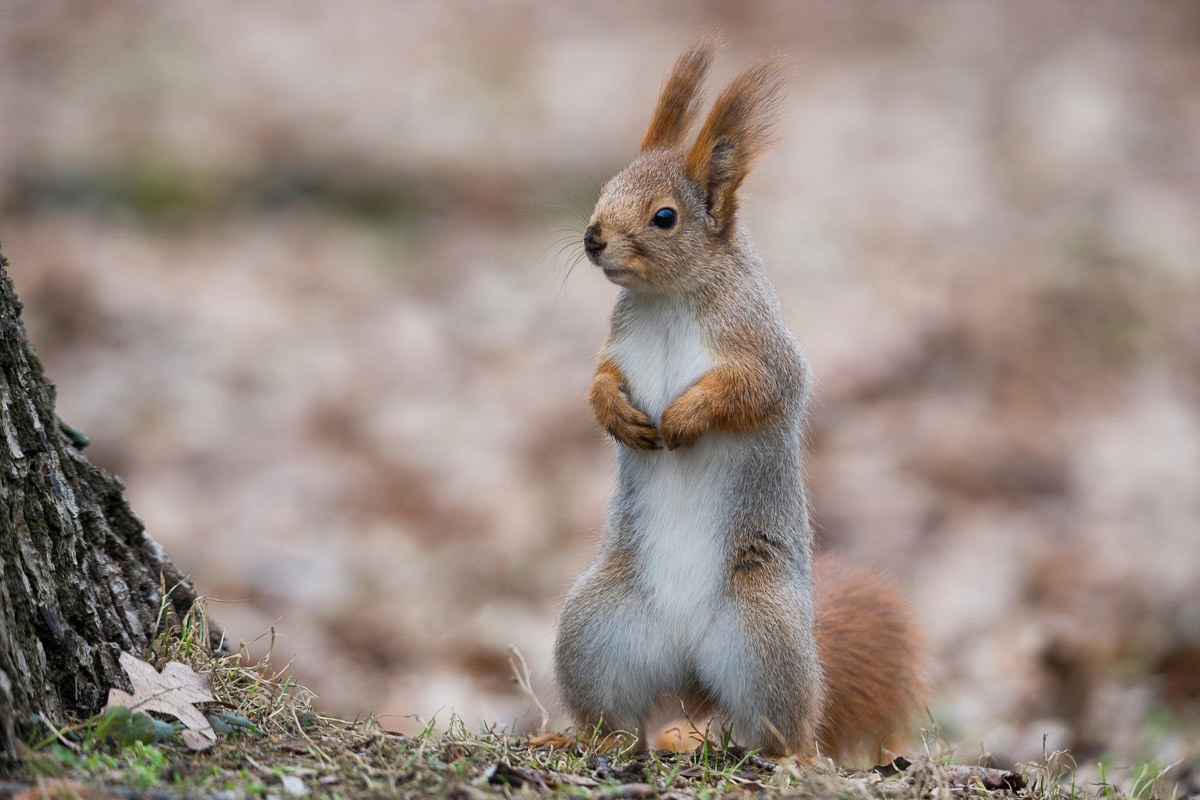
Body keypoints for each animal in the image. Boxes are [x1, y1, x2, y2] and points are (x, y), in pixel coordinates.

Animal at [552, 37, 926, 762]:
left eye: (664, 216)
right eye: (605, 190)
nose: (592, 237)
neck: (669, 300)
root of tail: (686, 667)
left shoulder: (763, 348)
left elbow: (757, 392)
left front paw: (685, 416)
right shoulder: (617, 346)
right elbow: (599, 379)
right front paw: (616, 414)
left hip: (763, 635)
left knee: (784, 725)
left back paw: (786, 756)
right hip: (596, 631)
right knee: (615, 717)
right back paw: (581, 738)